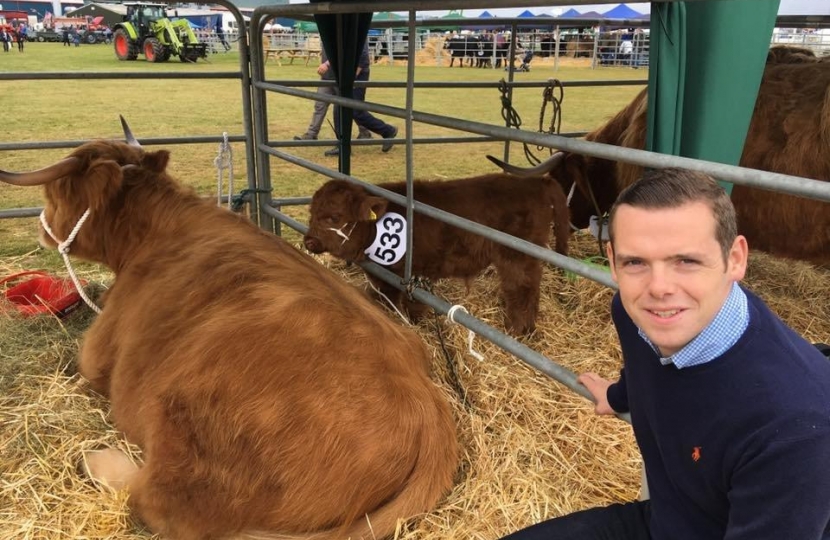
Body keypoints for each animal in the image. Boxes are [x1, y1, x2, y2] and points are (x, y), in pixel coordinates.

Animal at [0, 121, 462, 540]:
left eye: (58, 191)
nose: (42, 225)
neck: (153, 233)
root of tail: (428, 411)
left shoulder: (96, 354)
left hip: (188, 436)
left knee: (162, 505)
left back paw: (98, 460)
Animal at [304, 175, 572, 336]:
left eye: (334, 217)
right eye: (312, 211)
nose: (309, 241)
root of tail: (535, 181)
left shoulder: (414, 275)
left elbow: (409, 307)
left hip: (517, 256)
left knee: (522, 290)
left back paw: (517, 330)